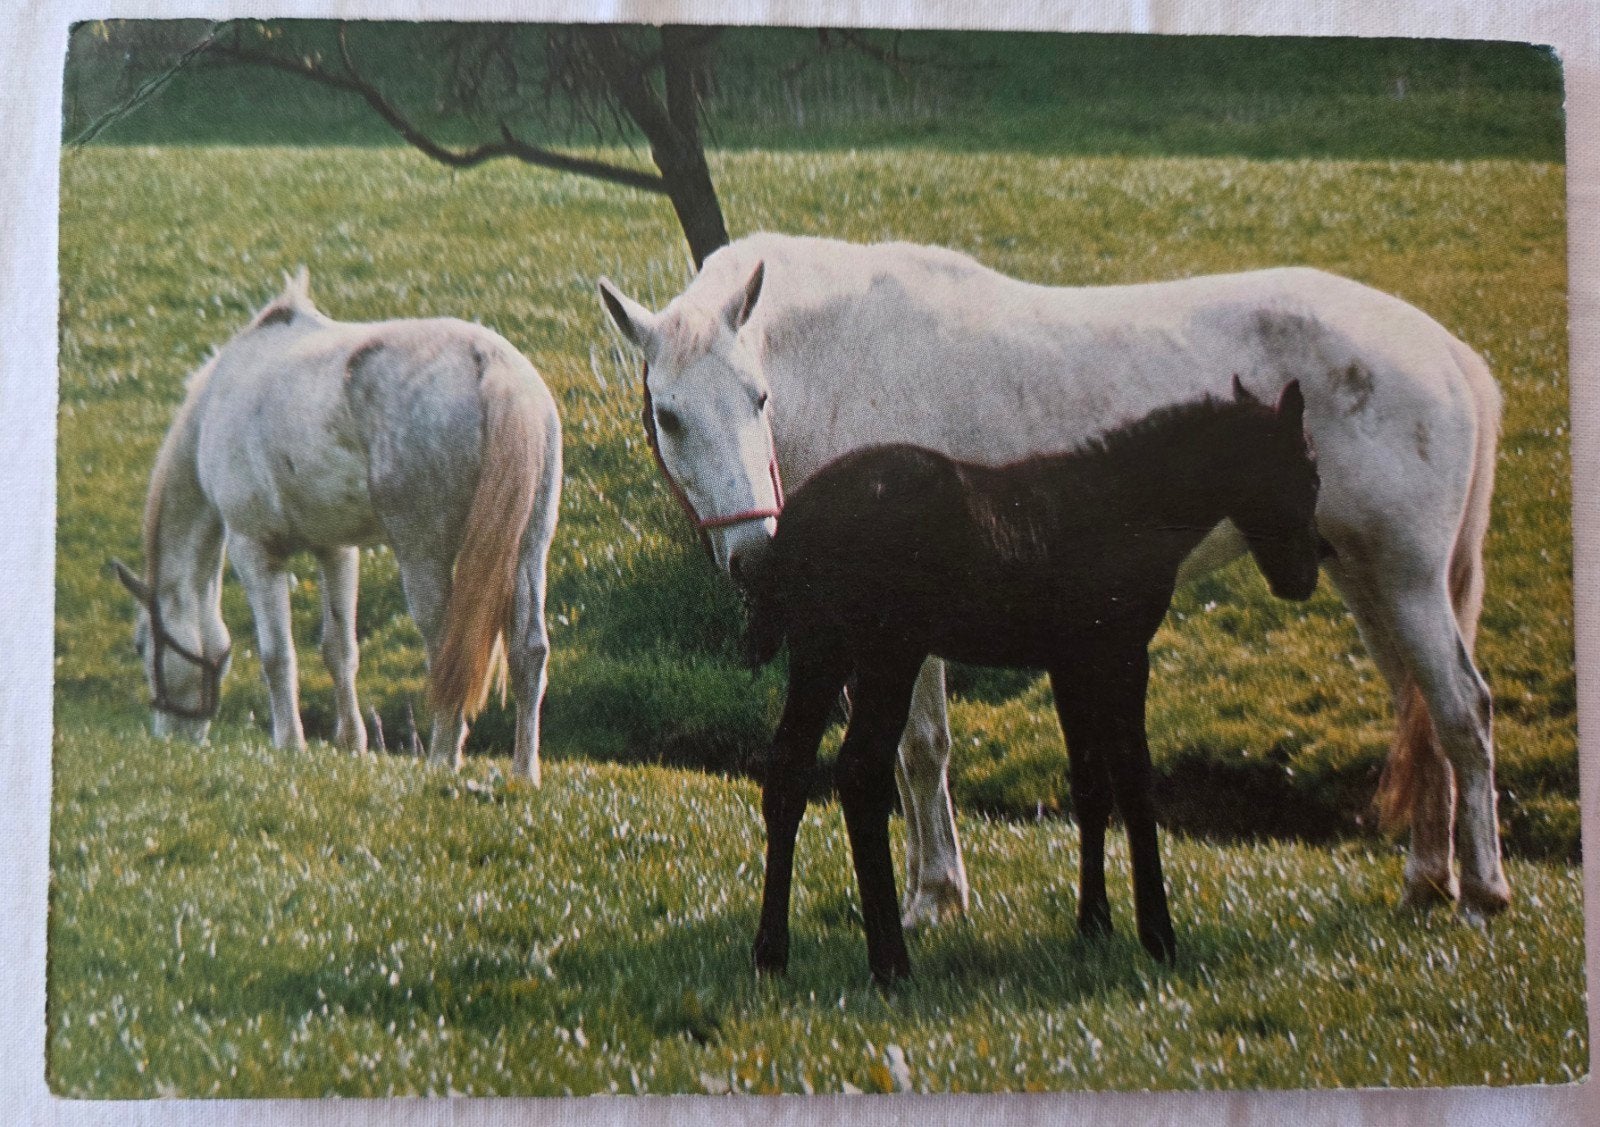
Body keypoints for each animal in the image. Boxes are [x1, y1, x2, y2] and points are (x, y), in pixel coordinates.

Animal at [111, 269, 563, 781]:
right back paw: (524, 771)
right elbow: (340, 650)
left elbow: (277, 654)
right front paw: (351, 743)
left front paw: (290, 744)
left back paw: (442, 758)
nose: (171, 736)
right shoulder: (337, 549)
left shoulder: (254, 548)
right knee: (529, 650)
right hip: (530, 549)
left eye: (142, 645)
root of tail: (490, 365)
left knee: (450, 648)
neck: (217, 401)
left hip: (423, 553)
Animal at [598, 232, 1510, 923]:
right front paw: (932, 889)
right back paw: (1429, 878)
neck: (843, 366)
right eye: (668, 414)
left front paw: (933, 897)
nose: (755, 552)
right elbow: (909, 753)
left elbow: (920, 747)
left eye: (757, 397)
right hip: (1367, 582)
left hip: (1409, 583)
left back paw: (1483, 891)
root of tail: (1448, 354)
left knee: (1461, 711)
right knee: (1421, 712)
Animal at [742, 380, 1322, 983]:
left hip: (820, 656)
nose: (1305, 577)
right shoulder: (1123, 655)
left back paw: (771, 952)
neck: (1124, 505)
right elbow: (1135, 782)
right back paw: (891, 965)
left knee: (787, 772)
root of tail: (799, 521)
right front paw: (1158, 935)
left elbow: (1090, 785)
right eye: (1310, 473)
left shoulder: (1070, 663)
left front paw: (1094, 926)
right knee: (859, 775)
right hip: (886, 657)